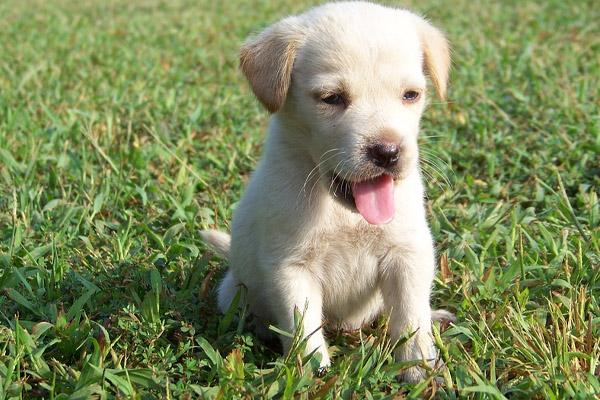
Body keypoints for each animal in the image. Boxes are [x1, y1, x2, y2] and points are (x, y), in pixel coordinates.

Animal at [202, 0, 450, 382]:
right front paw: (310, 375)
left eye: (411, 95)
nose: (388, 152)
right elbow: (302, 327)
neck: (345, 214)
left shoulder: (408, 253)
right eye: (331, 98)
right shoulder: (290, 267)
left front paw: (418, 365)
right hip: (233, 293)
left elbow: (410, 315)